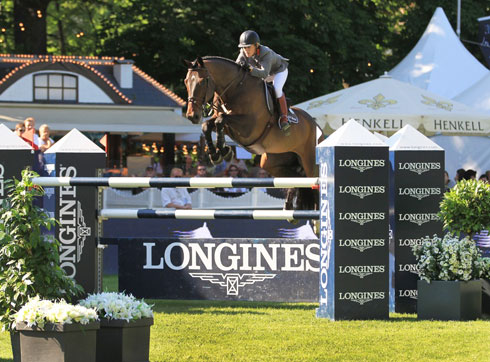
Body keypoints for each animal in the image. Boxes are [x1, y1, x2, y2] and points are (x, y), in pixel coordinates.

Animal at [184, 55, 322, 211]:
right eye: (186, 82)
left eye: (202, 82)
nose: (192, 116)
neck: (235, 89)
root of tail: (316, 126)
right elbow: (208, 125)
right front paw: (218, 154)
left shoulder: (248, 127)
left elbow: (221, 120)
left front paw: (224, 151)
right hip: (273, 162)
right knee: (298, 181)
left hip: (310, 164)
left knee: (314, 187)